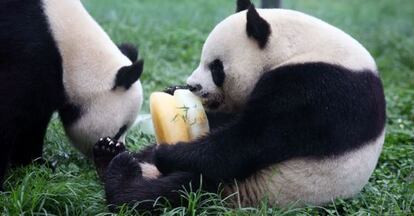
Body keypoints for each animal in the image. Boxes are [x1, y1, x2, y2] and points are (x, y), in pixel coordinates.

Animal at [93, 0, 384, 213]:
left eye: (216, 68)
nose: (193, 85)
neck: (299, 48)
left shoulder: (318, 90)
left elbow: (249, 141)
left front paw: (169, 152)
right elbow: (228, 122)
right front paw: (172, 92)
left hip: (258, 186)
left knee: (181, 190)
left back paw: (124, 175)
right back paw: (108, 152)